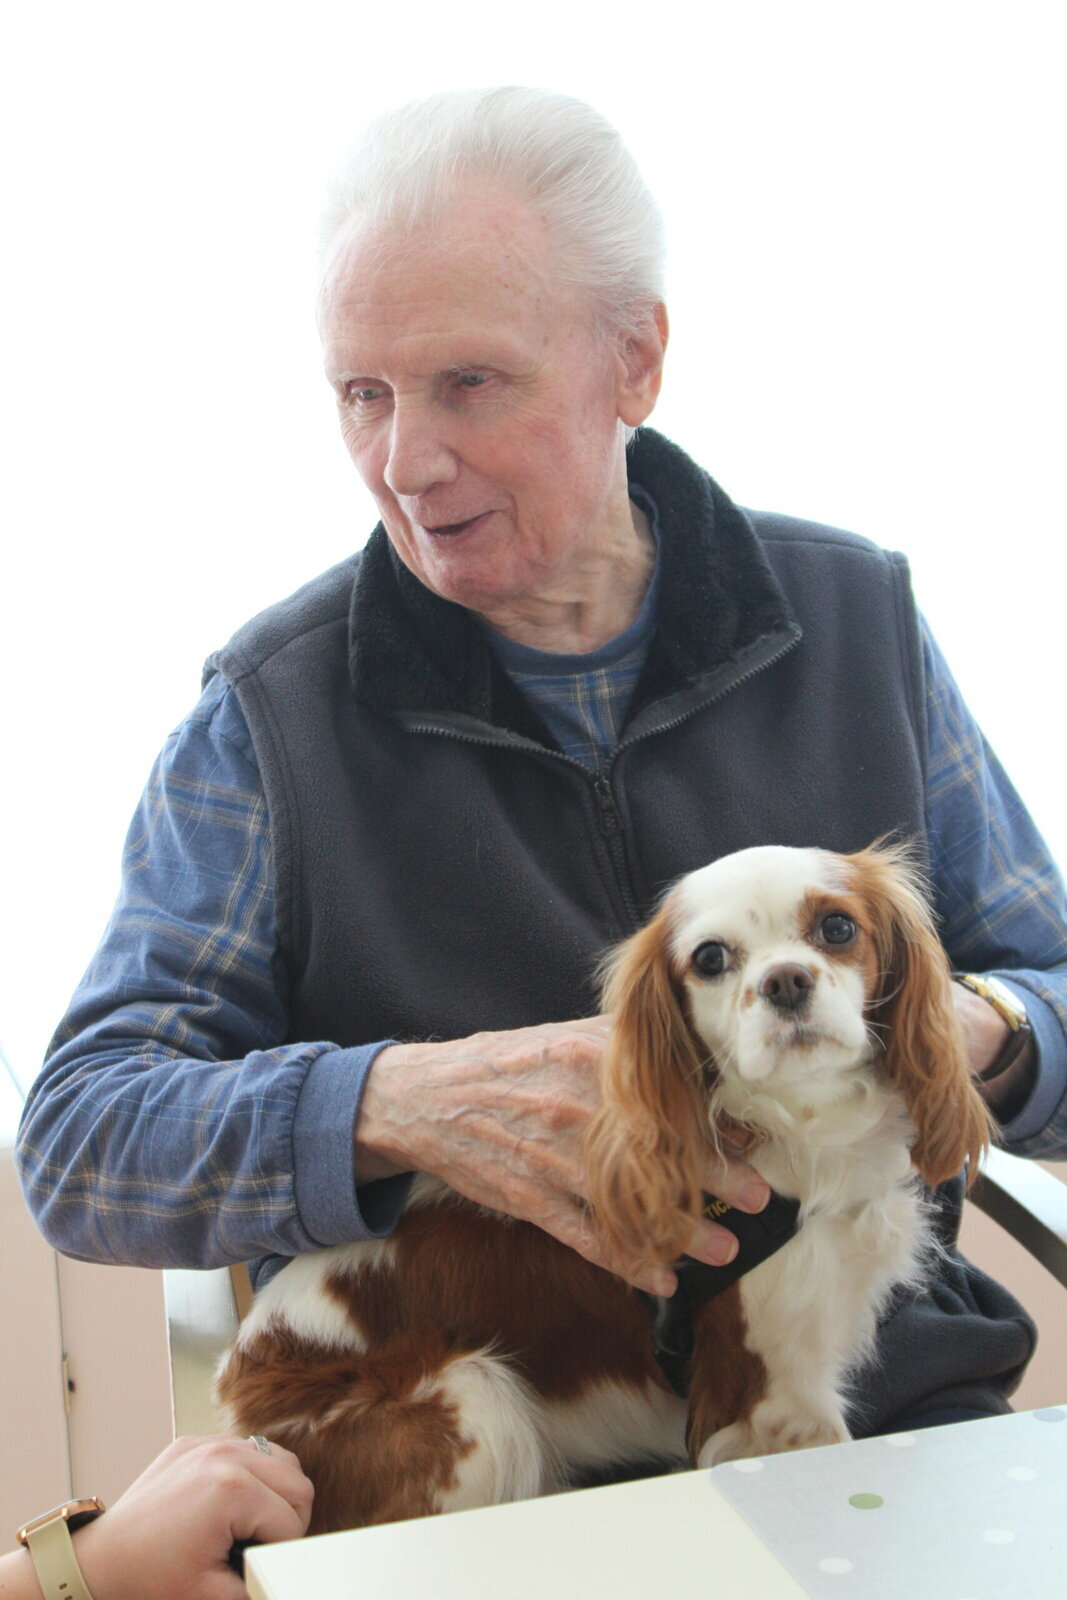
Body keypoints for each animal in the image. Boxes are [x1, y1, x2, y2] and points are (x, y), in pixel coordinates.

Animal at [215, 842, 990, 1532]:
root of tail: (236, 1404)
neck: (800, 1120)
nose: (786, 981)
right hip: (475, 1398)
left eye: (837, 928)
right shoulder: (773, 1394)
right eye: (711, 959)